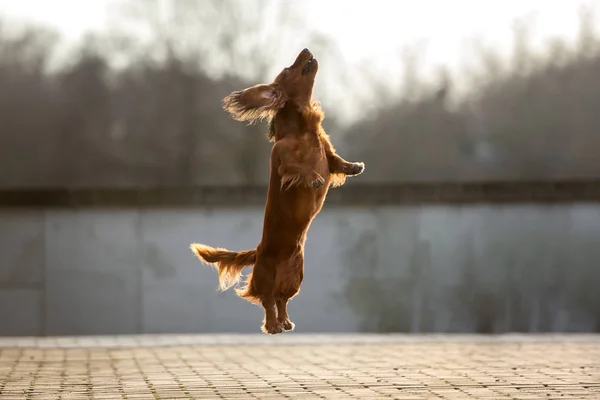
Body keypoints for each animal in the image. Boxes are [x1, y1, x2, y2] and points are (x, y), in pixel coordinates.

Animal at [190, 48, 364, 332]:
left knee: (281, 300)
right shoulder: (283, 161)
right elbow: (299, 168)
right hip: (265, 278)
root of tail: (257, 250)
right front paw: (314, 179)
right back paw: (272, 326)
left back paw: (285, 322)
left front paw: (354, 167)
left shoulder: (326, 151)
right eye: (287, 69)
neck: (303, 131)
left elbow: (335, 159)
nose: (306, 50)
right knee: (267, 301)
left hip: (294, 279)